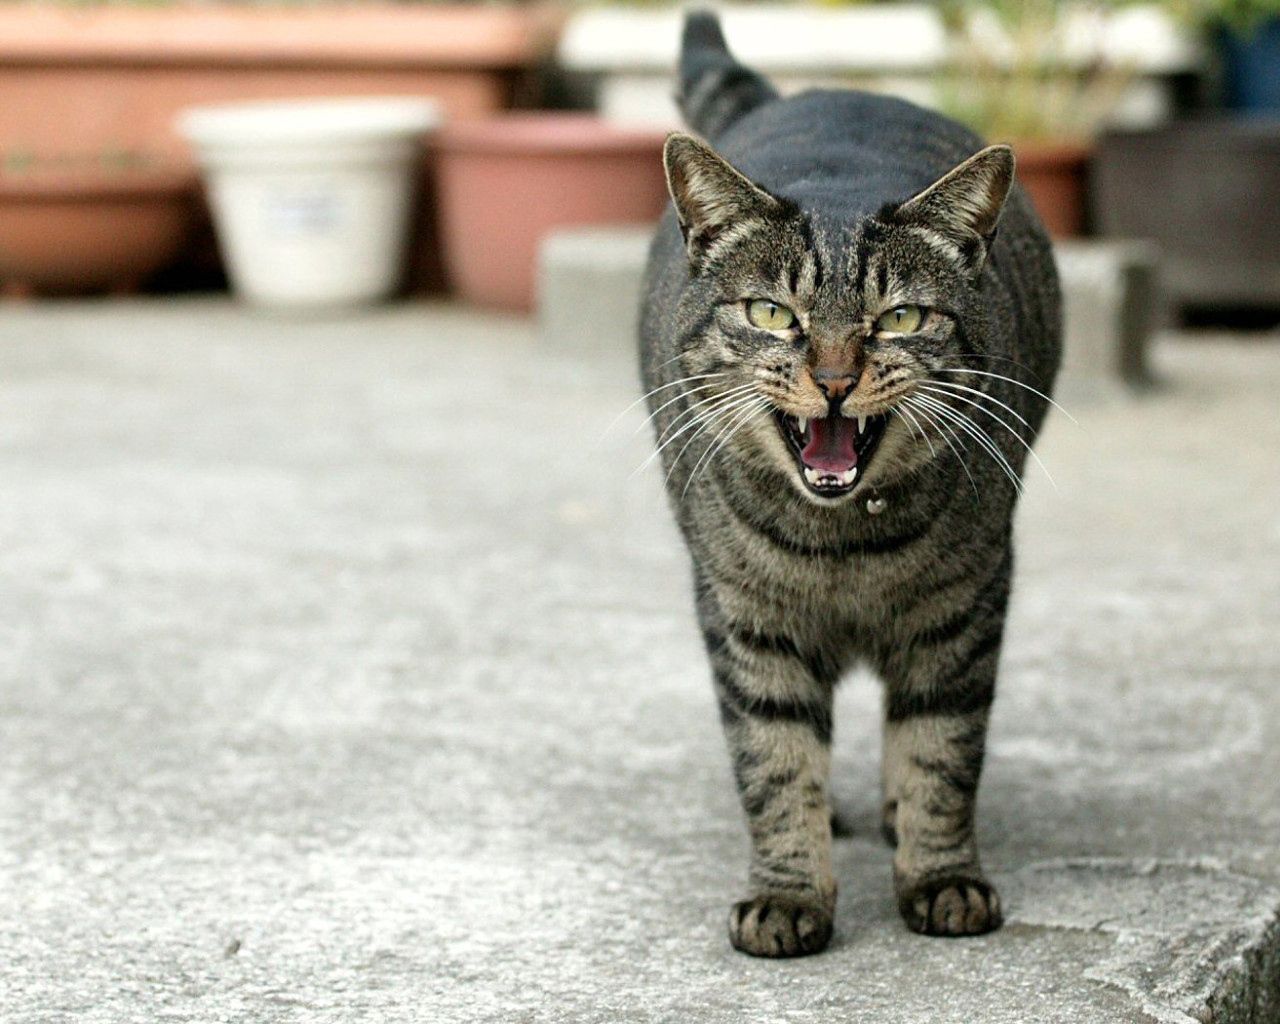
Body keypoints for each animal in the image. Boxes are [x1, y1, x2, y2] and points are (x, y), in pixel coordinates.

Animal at [640, 12, 1059, 957]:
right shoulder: (746, 616)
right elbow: (774, 757)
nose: (833, 379)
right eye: (771, 314)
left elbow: (941, 749)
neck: (845, 548)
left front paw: (940, 876)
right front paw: (788, 890)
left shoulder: (966, 606)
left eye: (898, 317)